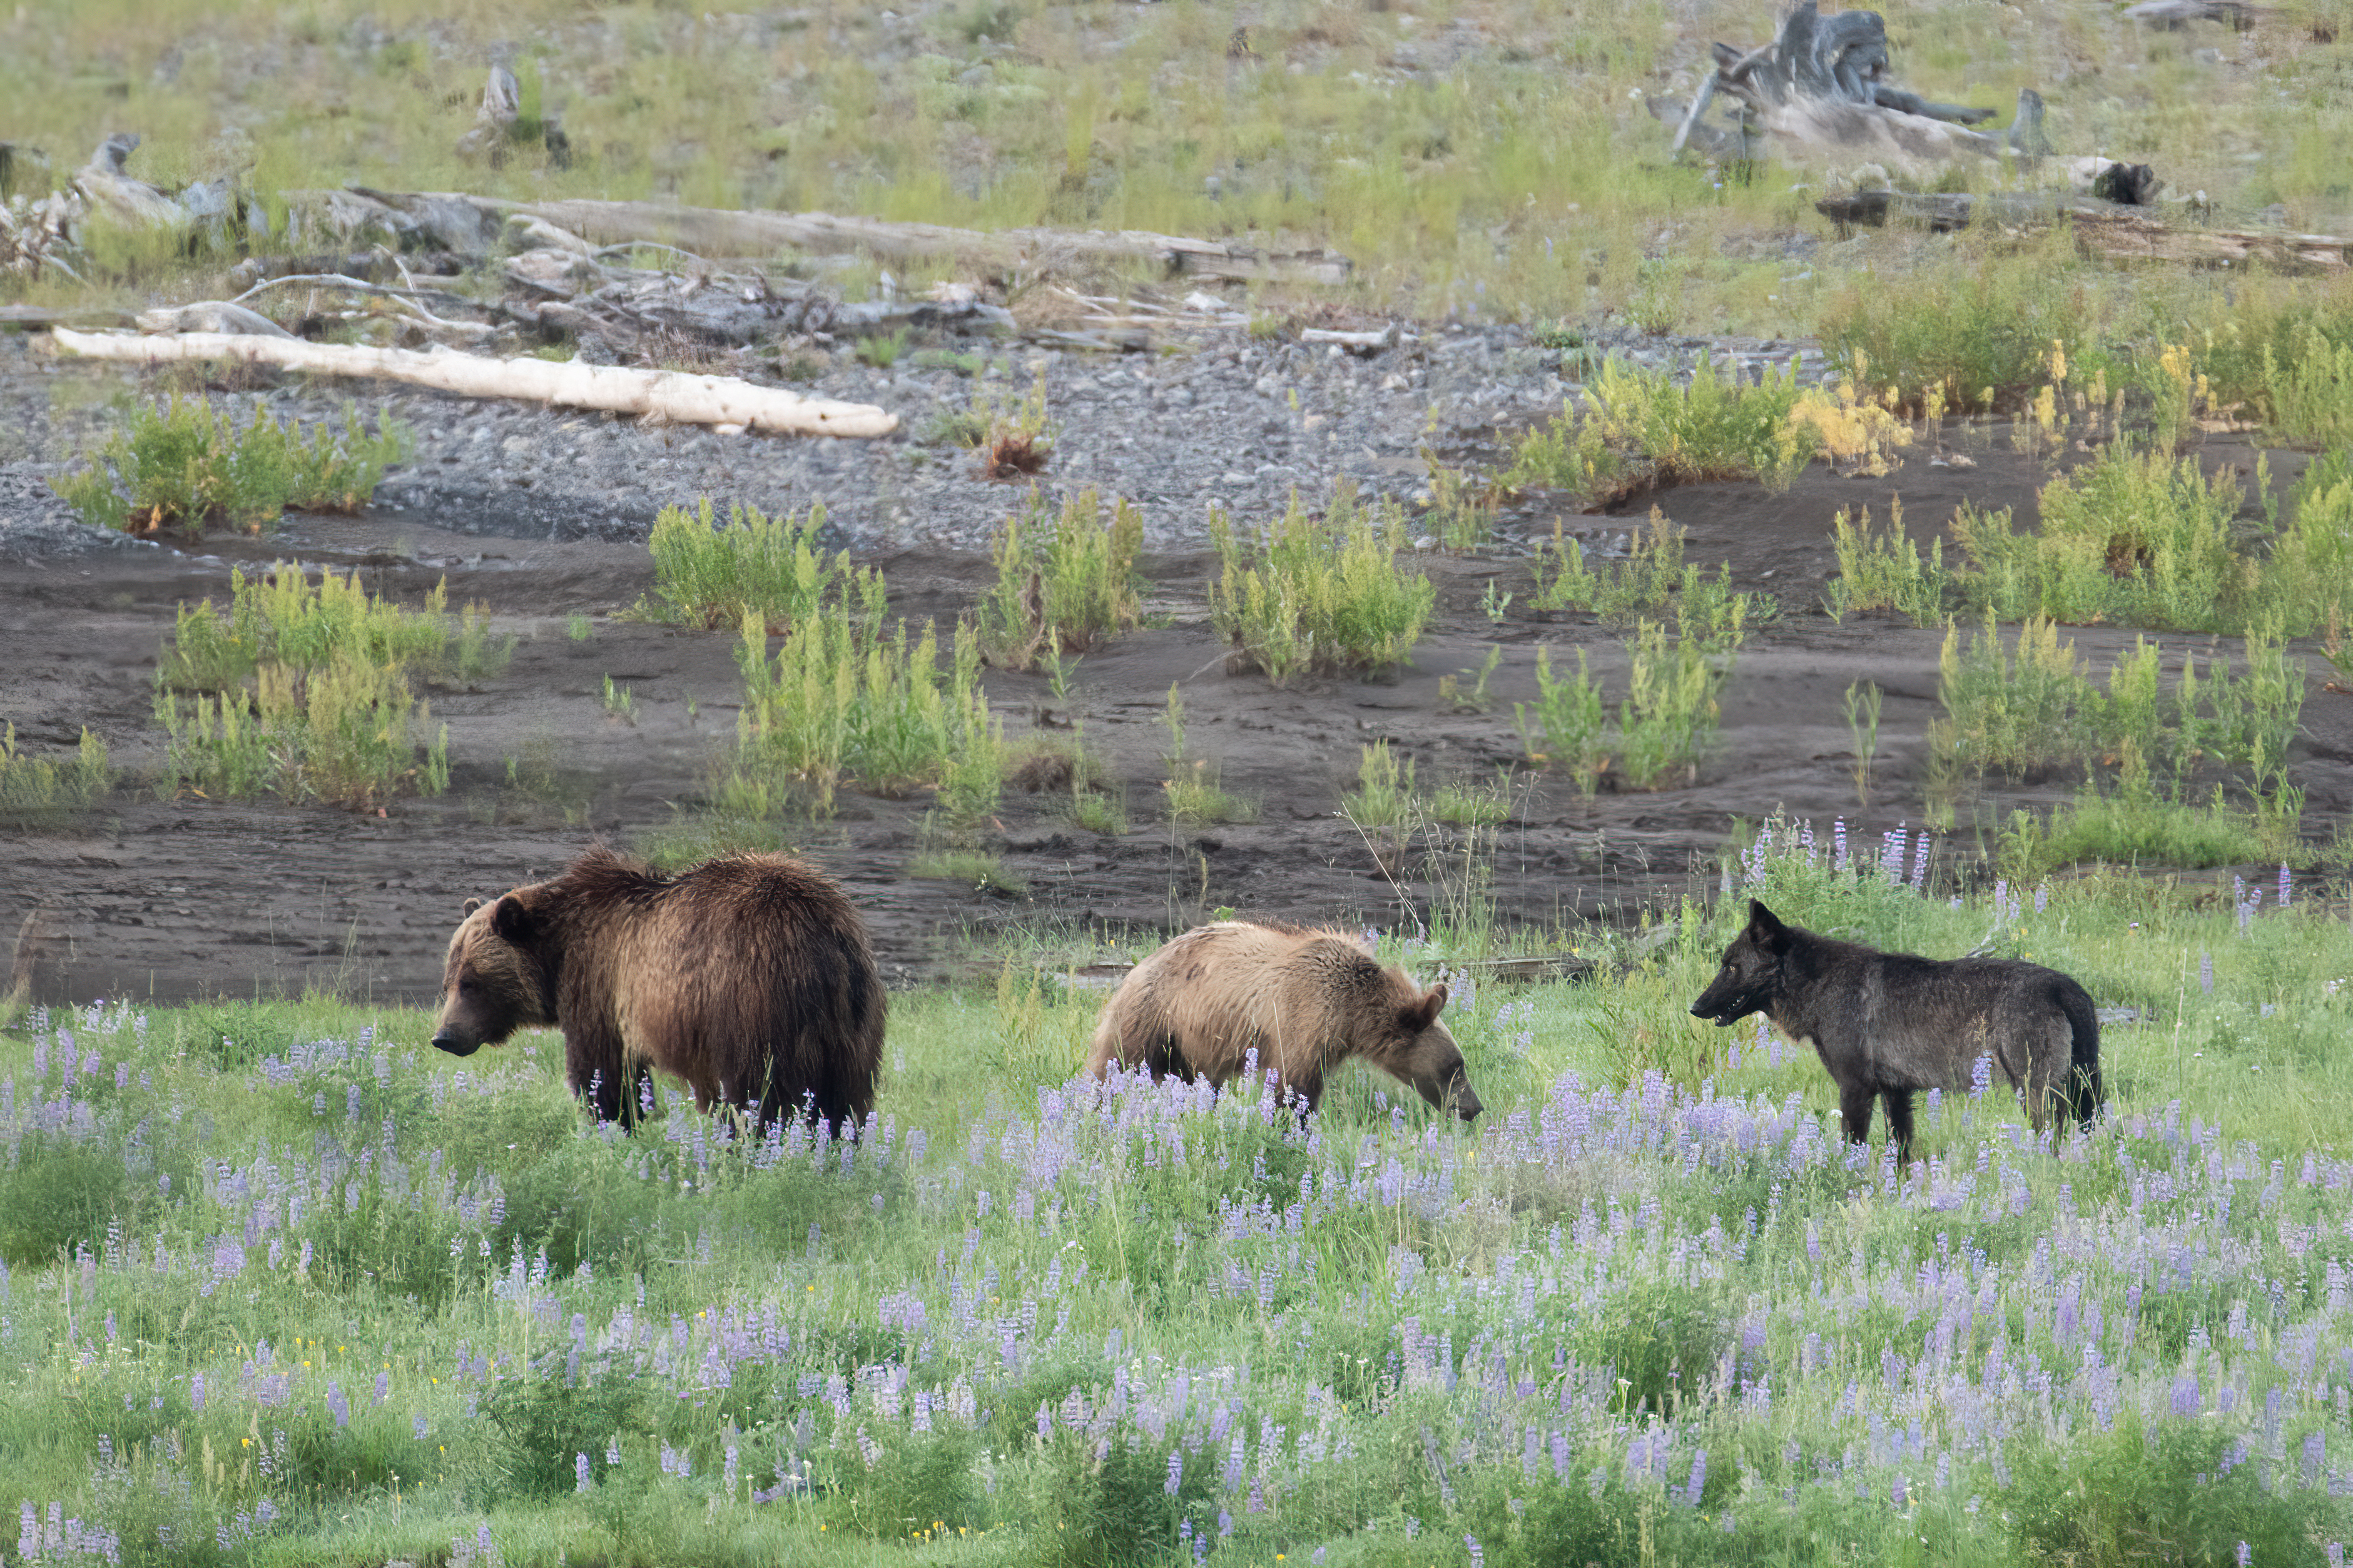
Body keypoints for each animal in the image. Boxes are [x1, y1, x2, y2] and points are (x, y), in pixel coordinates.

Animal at [430, 851, 885, 1133]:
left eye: (472, 982)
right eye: (448, 981)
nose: (444, 1036)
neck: (557, 953)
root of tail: (824, 934)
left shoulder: (601, 987)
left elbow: (603, 1072)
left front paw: (614, 1125)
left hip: (753, 1003)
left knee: (759, 1095)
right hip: (851, 1026)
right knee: (846, 1099)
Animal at [1077, 926, 1477, 1123]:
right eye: (1455, 1067)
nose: (1474, 1108)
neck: (1350, 1012)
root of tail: (1141, 963)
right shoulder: (1300, 1022)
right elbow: (1292, 1093)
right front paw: (1290, 1132)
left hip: (1188, 1044)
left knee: (1195, 1085)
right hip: (1154, 1015)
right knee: (1113, 1065)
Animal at [1694, 893, 2098, 1151]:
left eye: (1731, 967)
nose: (1695, 1008)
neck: (1821, 986)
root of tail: (2064, 985)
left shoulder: (1856, 1090)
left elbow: (1850, 1147)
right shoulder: (1895, 1094)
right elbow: (1900, 1153)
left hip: (2035, 1094)